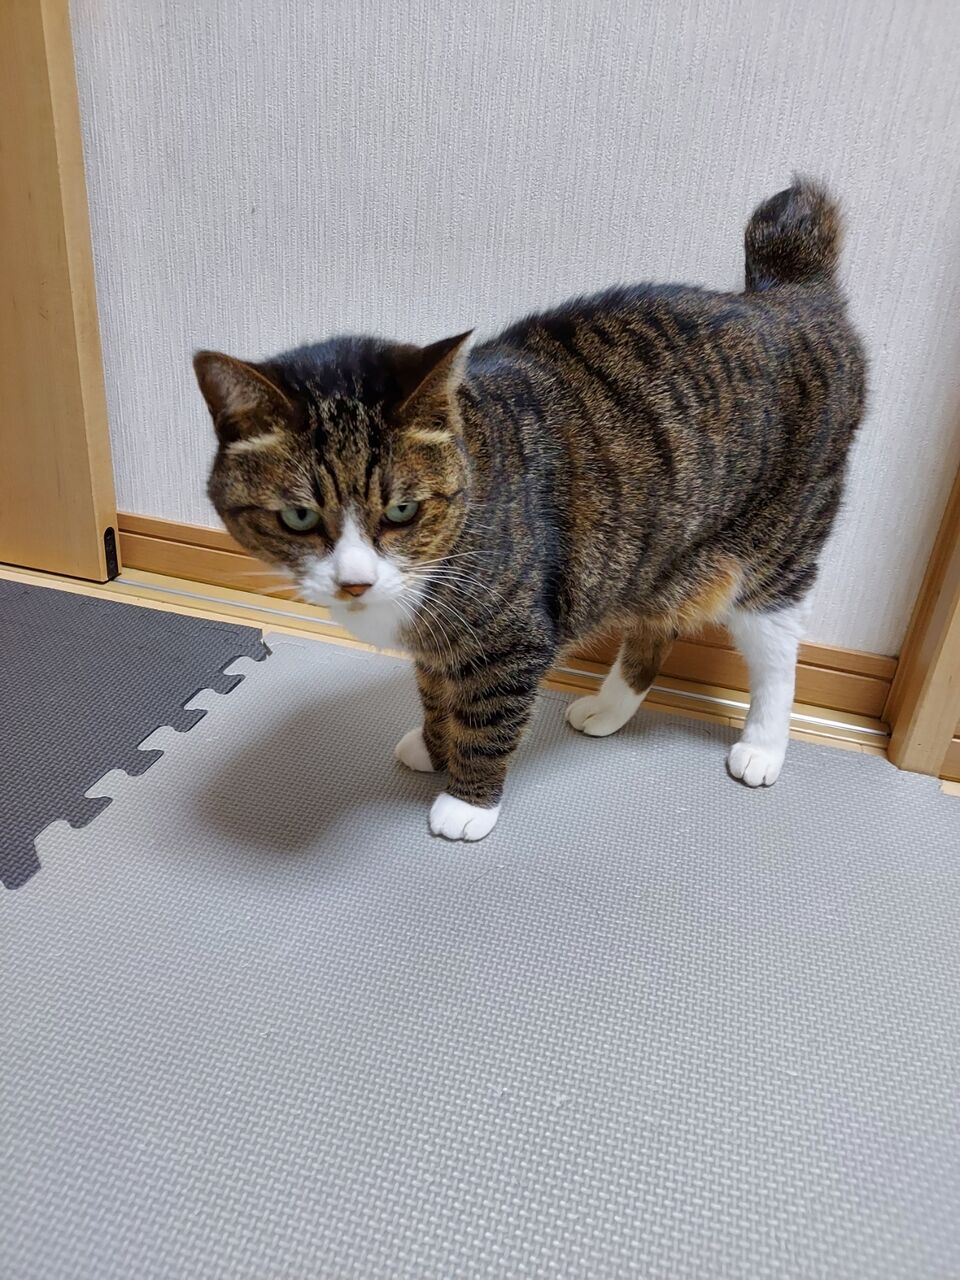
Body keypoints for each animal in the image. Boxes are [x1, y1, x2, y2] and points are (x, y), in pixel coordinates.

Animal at [194, 178, 865, 842]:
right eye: (299, 518)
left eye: (403, 509)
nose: (354, 583)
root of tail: (790, 295)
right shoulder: (439, 644)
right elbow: (436, 693)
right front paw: (434, 747)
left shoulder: (508, 639)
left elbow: (487, 719)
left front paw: (466, 801)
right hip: (660, 551)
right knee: (657, 628)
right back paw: (608, 709)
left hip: (779, 546)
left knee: (778, 655)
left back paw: (763, 747)